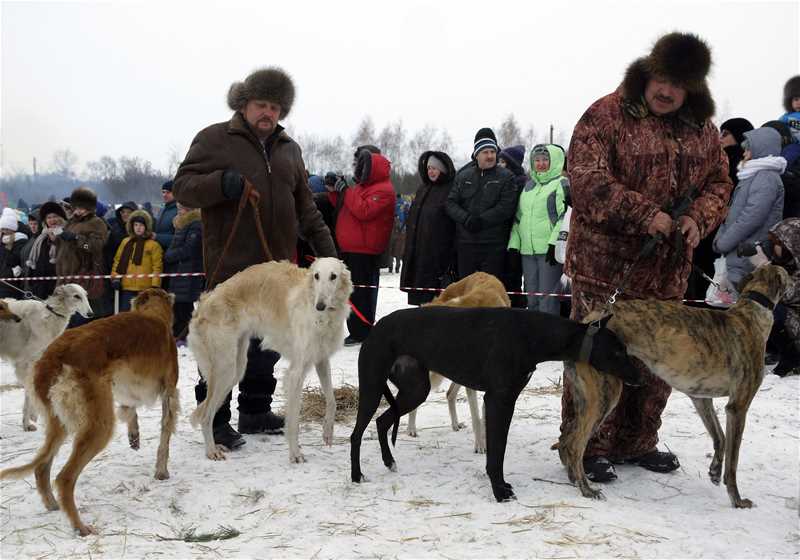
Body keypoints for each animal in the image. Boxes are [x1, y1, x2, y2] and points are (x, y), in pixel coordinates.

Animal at [189, 258, 352, 464]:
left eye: (333, 276)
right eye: (316, 276)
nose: (320, 305)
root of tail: (203, 304)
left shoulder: (321, 360)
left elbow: (332, 400)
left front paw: (328, 432)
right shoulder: (296, 372)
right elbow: (294, 421)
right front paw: (295, 454)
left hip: (237, 367)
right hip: (225, 369)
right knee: (205, 415)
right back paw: (211, 451)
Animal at [346, 306, 640, 504]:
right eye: (617, 352)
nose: (638, 378)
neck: (531, 334)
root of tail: (376, 327)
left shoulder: (506, 399)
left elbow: (498, 449)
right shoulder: (499, 399)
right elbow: (496, 452)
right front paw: (499, 491)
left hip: (415, 390)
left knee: (382, 421)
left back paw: (389, 462)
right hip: (372, 386)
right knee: (356, 433)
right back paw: (356, 475)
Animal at [560, 264, 792, 510]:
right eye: (791, 273)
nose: (796, 286)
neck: (750, 315)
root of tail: (588, 321)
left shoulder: (701, 397)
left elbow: (720, 437)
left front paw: (714, 471)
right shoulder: (738, 407)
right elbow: (733, 461)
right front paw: (737, 499)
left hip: (586, 395)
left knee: (566, 439)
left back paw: (575, 478)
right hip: (605, 395)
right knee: (575, 444)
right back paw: (587, 489)